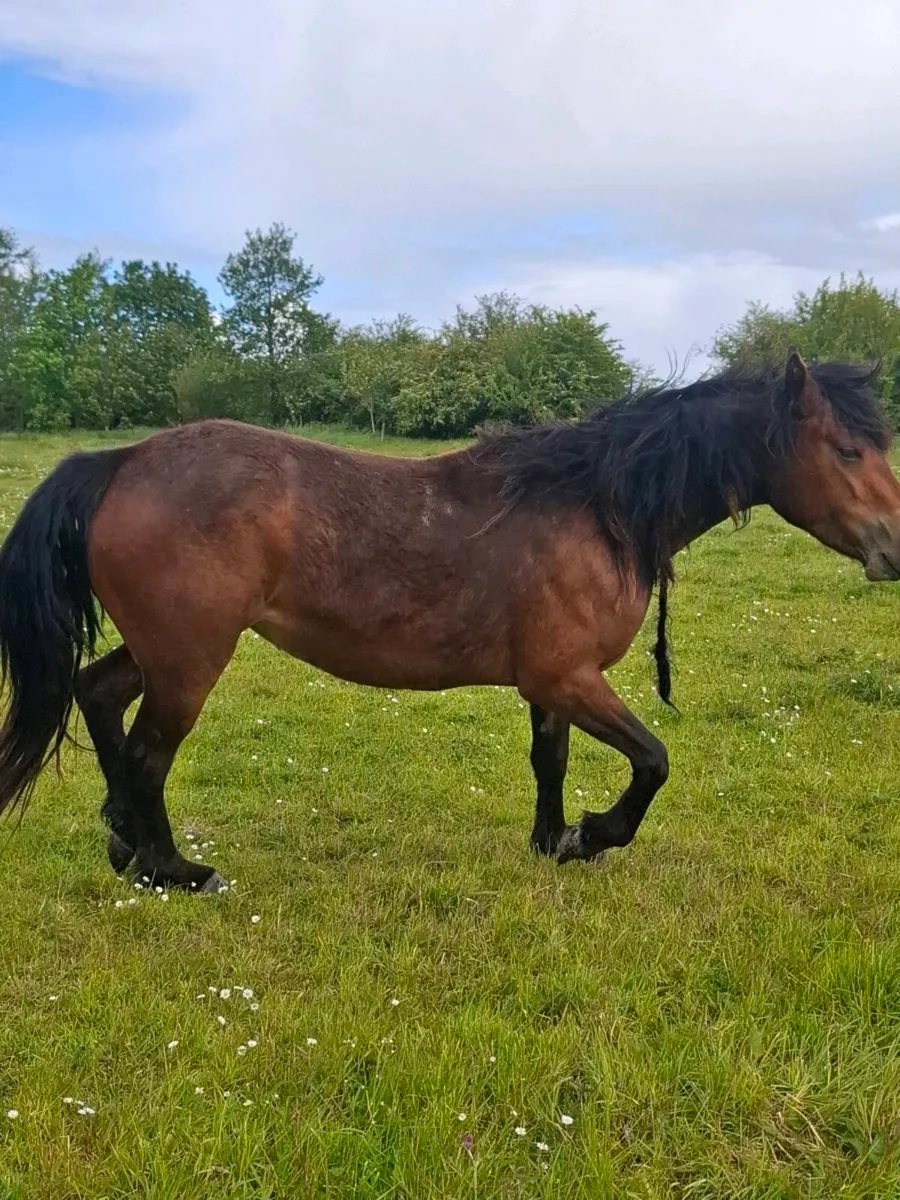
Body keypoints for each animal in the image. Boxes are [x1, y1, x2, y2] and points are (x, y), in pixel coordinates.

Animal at [0, 351, 897, 893]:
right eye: (847, 451)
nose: (894, 545)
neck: (594, 506)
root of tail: (122, 462)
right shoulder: (571, 677)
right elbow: (653, 762)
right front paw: (594, 835)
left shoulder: (552, 684)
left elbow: (549, 762)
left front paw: (551, 841)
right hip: (191, 661)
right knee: (148, 756)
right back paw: (171, 869)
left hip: (164, 649)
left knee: (97, 695)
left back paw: (122, 840)